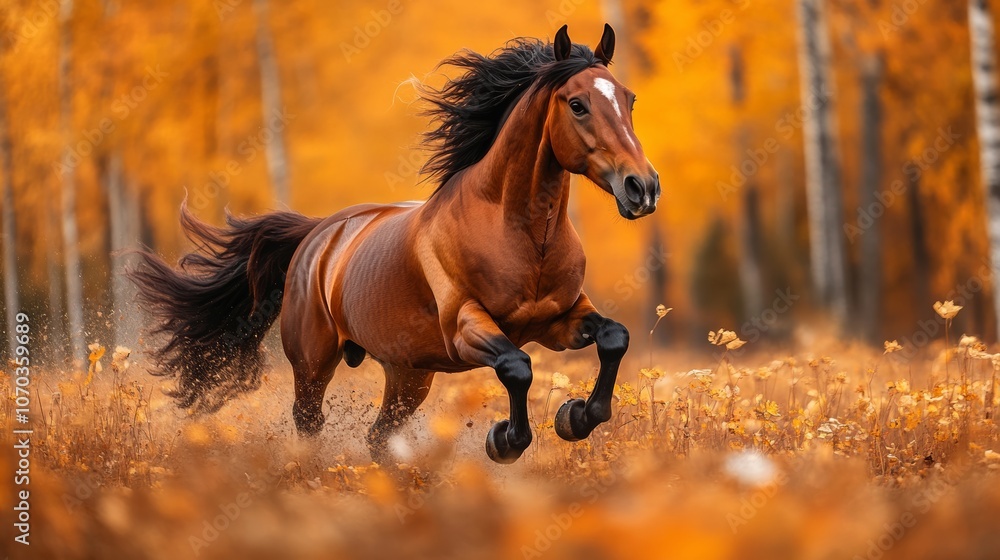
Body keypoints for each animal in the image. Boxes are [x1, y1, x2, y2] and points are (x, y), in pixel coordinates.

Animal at [130, 24, 660, 464]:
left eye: (630, 100)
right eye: (577, 104)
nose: (642, 188)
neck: (523, 235)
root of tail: (318, 234)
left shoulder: (559, 319)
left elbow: (614, 337)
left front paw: (575, 417)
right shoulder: (466, 328)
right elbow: (518, 366)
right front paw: (504, 440)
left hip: (409, 375)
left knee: (377, 436)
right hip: (314, 363)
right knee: (310, 422)